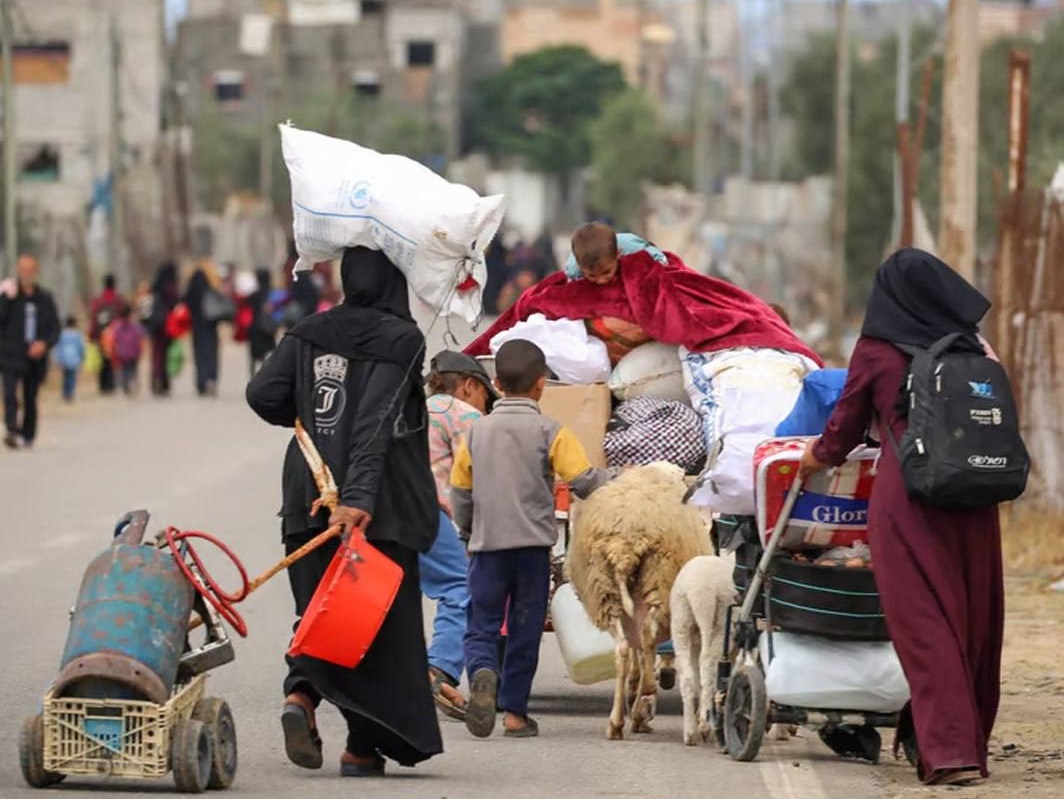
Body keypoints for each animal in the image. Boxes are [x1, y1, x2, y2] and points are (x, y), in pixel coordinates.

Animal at [566, 465, 715, 740]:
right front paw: (641, 699)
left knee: (623, 649)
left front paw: (634, 692)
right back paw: (644, 697)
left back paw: (617, 722)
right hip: (659, 583)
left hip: (606, 592)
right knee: (647, 637)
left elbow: (637, 653)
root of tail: (624, 544)